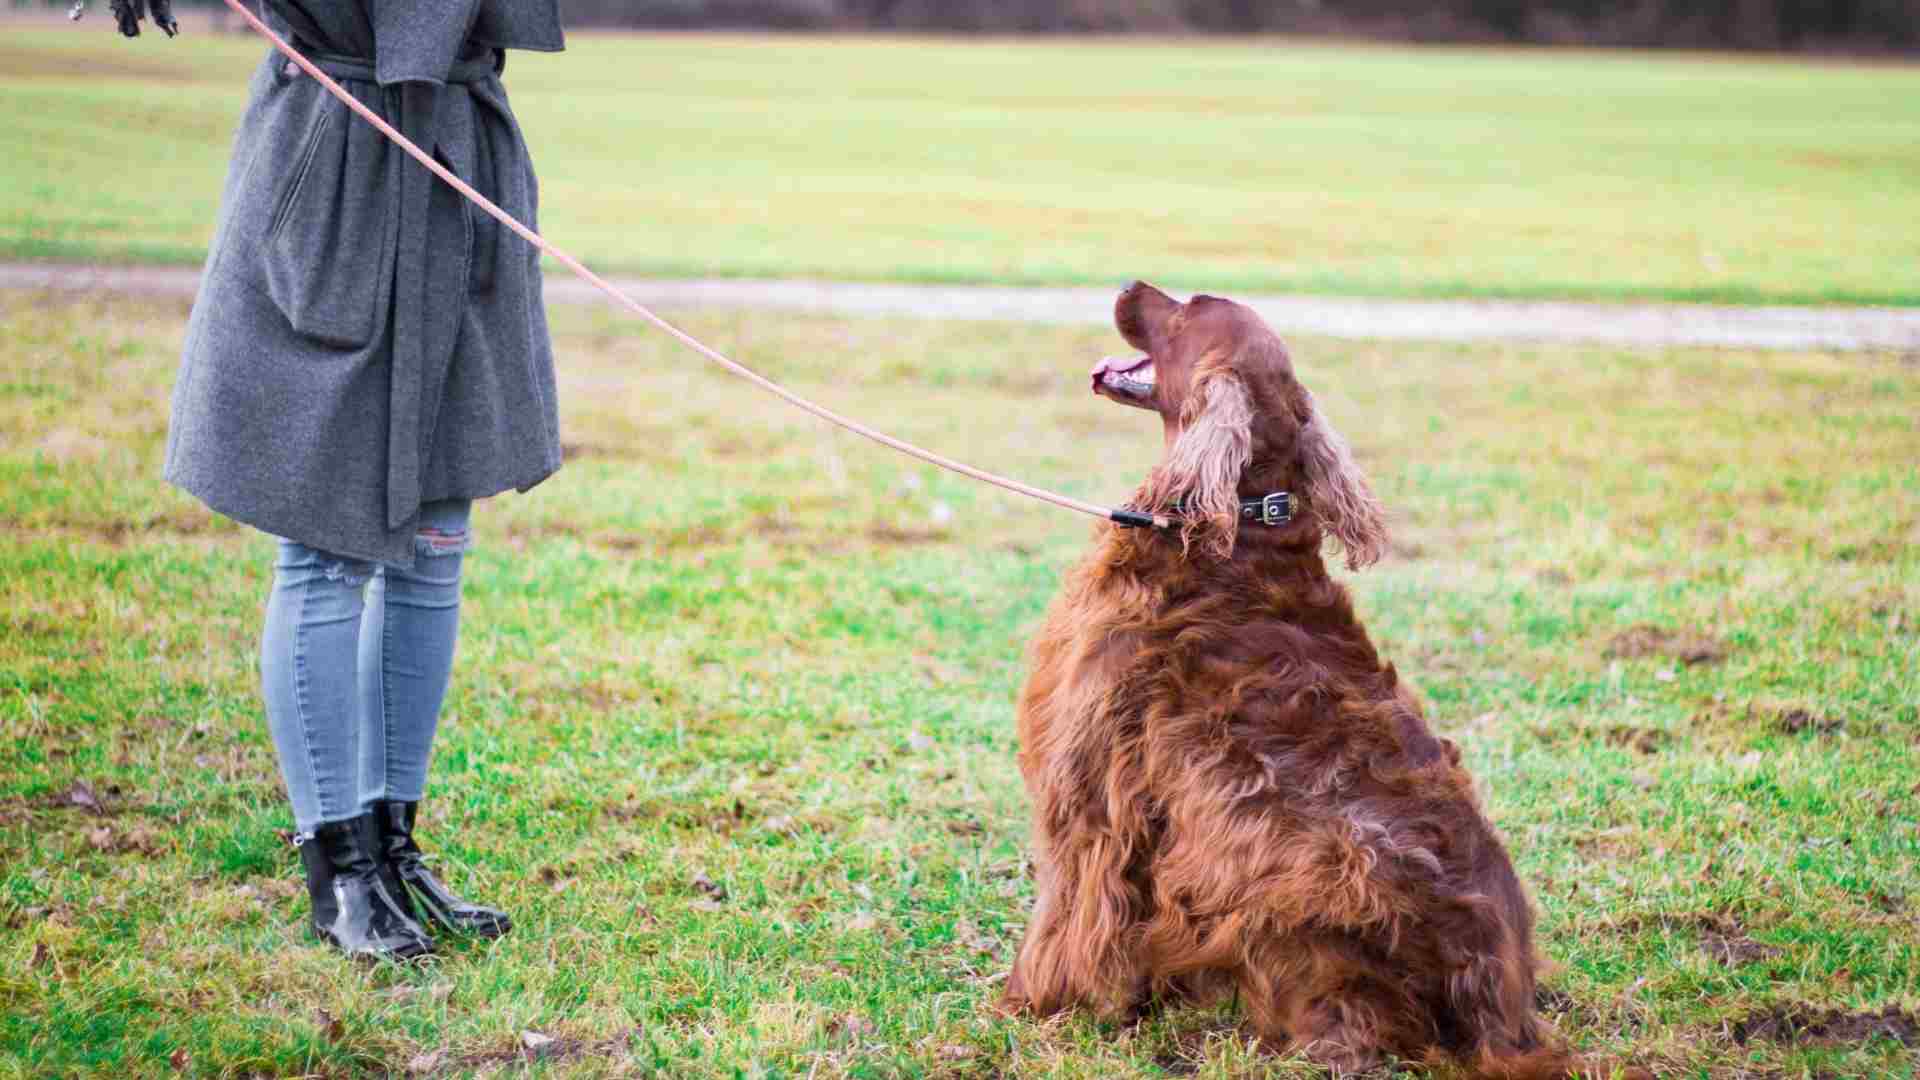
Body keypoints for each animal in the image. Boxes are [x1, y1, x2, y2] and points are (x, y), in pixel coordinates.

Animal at [1006, 282, 1635, 1068]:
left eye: (1184, 309)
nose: (1124, 285)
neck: (1240, 532)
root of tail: (1496, 1014)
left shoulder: (1091, 794)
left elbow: (1067, 916)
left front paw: (1038, 1005)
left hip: (1322, 866)